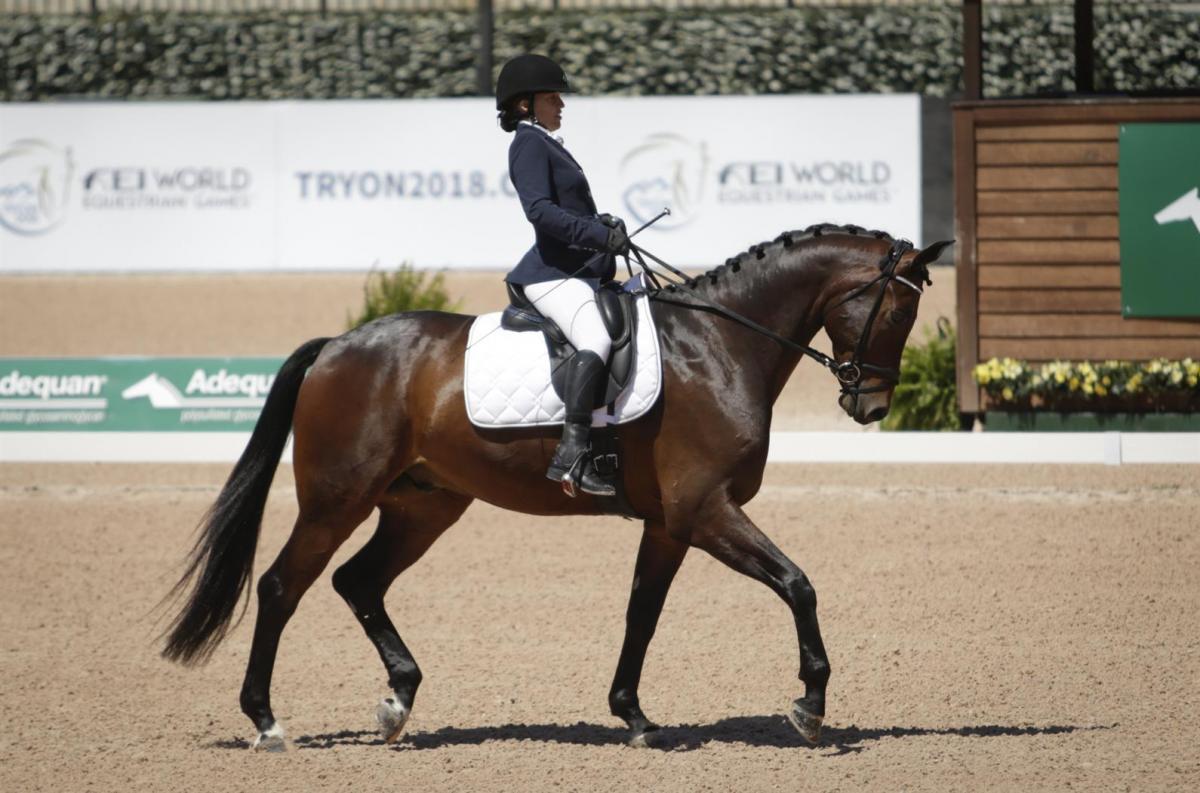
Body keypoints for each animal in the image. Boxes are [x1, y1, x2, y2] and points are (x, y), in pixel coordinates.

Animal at [159, 220, 950, 748]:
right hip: (337, 499)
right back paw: (267, 721)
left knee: (357, 581)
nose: (871, 406)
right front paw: (810, 705)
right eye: (898, 309)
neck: (722, 345)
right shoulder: (706, 511)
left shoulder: (669, 524)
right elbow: (798, 584)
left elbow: (641, 614)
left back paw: (398, 700)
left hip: (423, 507)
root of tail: (336, 346)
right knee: (281, 587)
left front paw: (633, 714)